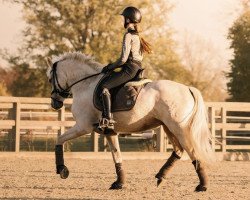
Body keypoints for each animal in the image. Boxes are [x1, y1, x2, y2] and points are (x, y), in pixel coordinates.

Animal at [46, 52, 215, 192]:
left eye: (50, 79)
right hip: (168, 127)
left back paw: (202, 185)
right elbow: (116, 156)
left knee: (191, 151)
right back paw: (161, 176)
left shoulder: (83, 127)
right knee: (179, 150)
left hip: (179, 128)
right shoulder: (109, 132)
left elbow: (59, 139)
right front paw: (119, 183)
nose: (55, 104)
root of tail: (187, 88)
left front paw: (62, 169)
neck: (85, 85)